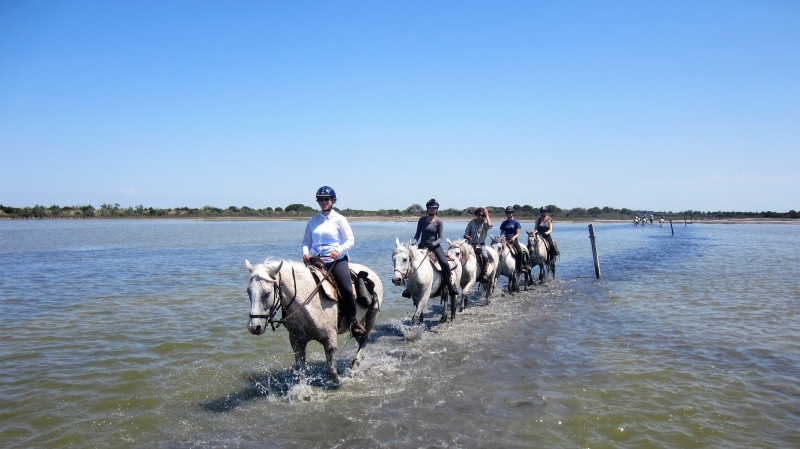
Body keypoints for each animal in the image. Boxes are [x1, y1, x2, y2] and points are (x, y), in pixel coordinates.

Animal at [244, 258, 382, 384]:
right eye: (248, 291)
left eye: (267, 293)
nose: (254, 327)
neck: (307, 302)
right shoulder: (297, 342)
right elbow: (300, 373)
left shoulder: (330, 339)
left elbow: (332, 373)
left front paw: (341, 382)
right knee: (359, 338)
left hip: (372, 316)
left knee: (364, 339)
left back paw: (354, 366)